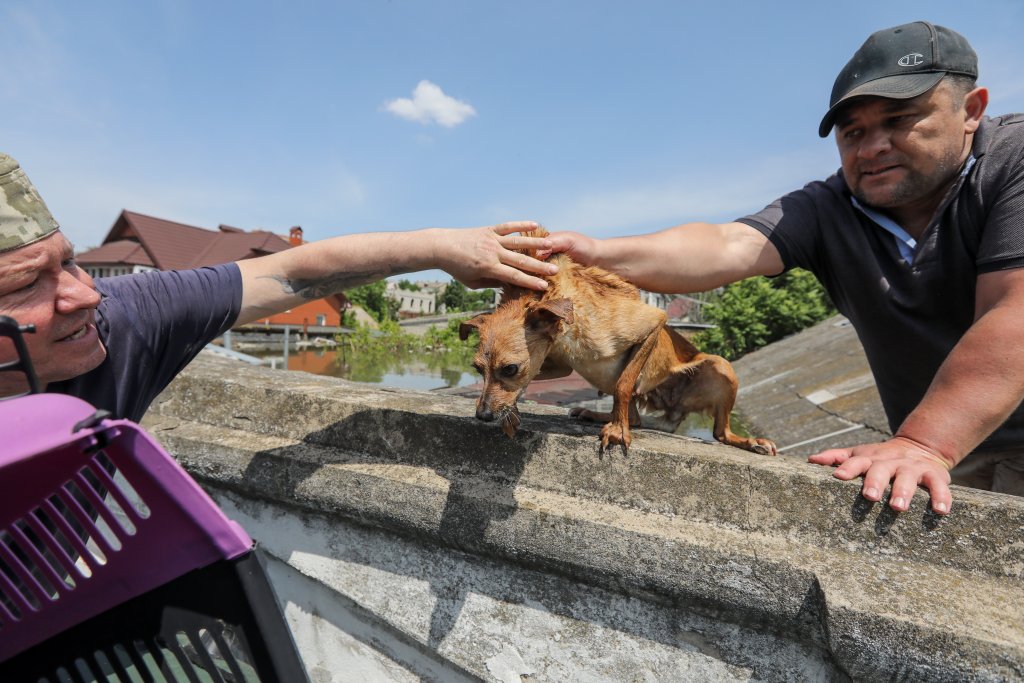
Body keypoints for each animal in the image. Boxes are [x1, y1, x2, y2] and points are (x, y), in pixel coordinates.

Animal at [458, 227, 774, 456]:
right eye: (477, 369)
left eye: (510, 368)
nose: (482, 415)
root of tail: (673, 411)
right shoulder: (558, 364)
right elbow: (529, 382)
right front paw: (511, 413)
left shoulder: (652, 323)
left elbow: (624, 385)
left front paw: (616, 431)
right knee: (635, 416)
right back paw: (595, 414)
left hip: (721, 367)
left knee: (720, 432)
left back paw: (749, 441)